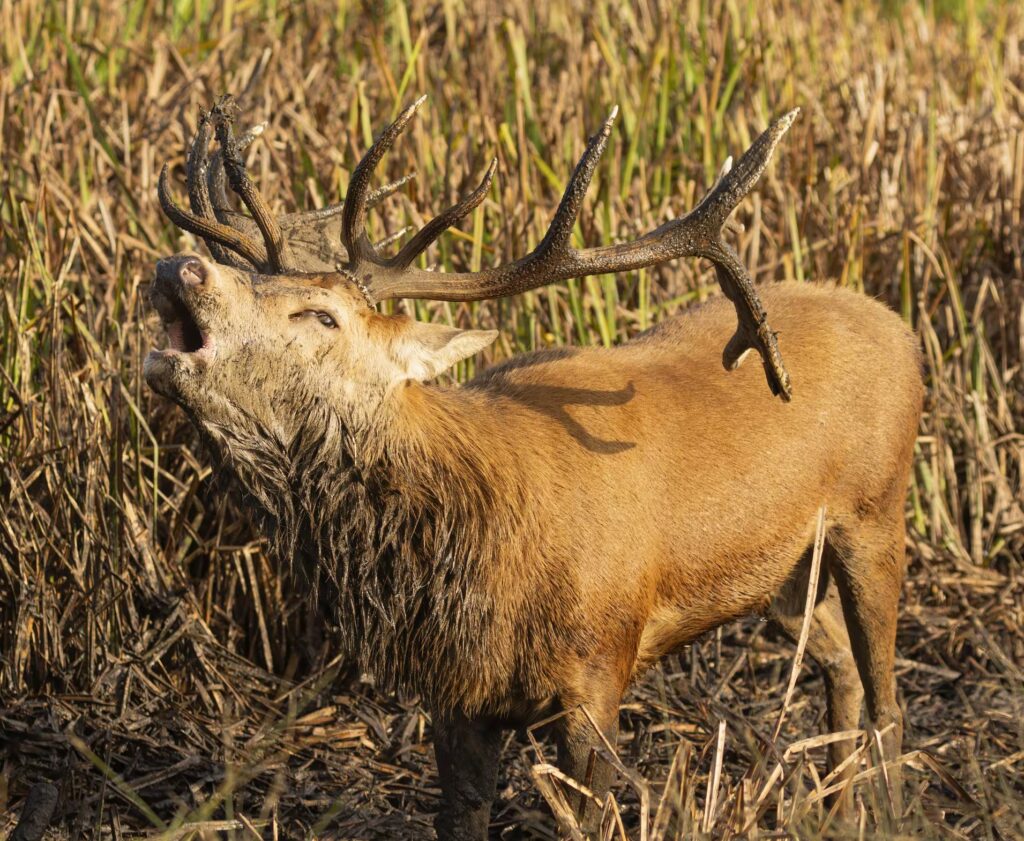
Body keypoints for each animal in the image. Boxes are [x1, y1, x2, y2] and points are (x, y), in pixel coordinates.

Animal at [146, 95, 922, 839]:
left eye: (322, 315)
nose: (179, 266)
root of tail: (899, 325)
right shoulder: (458, 695)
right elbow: (462, 818)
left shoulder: (600, 666)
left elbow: (589, 817)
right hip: (783, 574)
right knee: (840, 667)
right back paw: (839, 812)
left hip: (877, 511)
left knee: (887, 696)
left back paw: (885, 811)